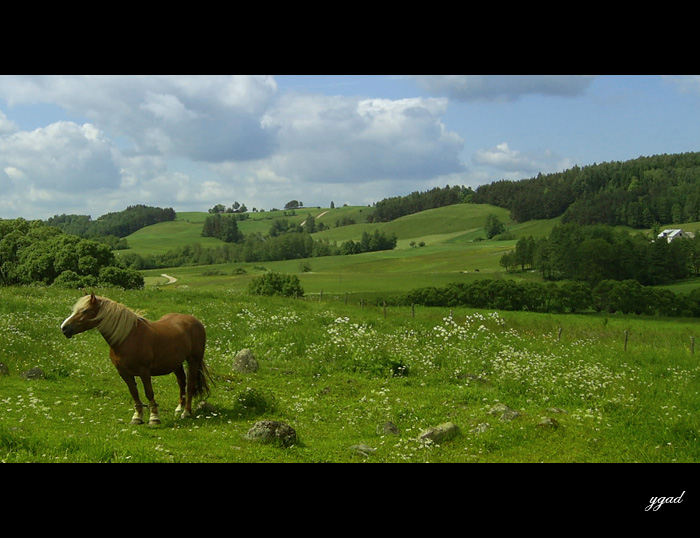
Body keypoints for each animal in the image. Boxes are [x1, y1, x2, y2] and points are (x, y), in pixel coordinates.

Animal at [61, 292, 211, 426]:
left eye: (84, 310)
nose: (64, 328)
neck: (126, 338)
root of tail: (196, 321)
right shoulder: (124, 373)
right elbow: (134, 393)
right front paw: (137, 417)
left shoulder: (144, 372)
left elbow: (149, 393)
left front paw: (154, 418)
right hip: (176, 363)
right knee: (181, 381)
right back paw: (179, 409)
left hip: (193, 360)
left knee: (190, 384)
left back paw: (186, 412)